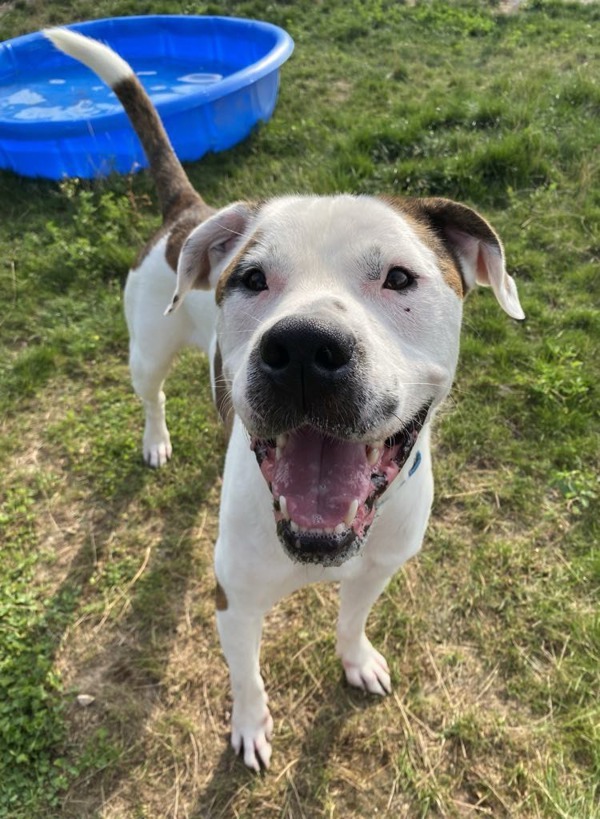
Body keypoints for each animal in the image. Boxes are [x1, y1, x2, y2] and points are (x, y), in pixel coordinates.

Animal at [48, 28, 524, 772]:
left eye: (399, 278)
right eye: (250, 278)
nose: (303, 348)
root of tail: (192, 212)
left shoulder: (377, 570)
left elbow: (352, 620)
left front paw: (356, 660)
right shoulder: (234, 603)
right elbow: (246, 675)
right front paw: (250, 725)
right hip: (145, 351)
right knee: (152, 395)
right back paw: (155, 440)